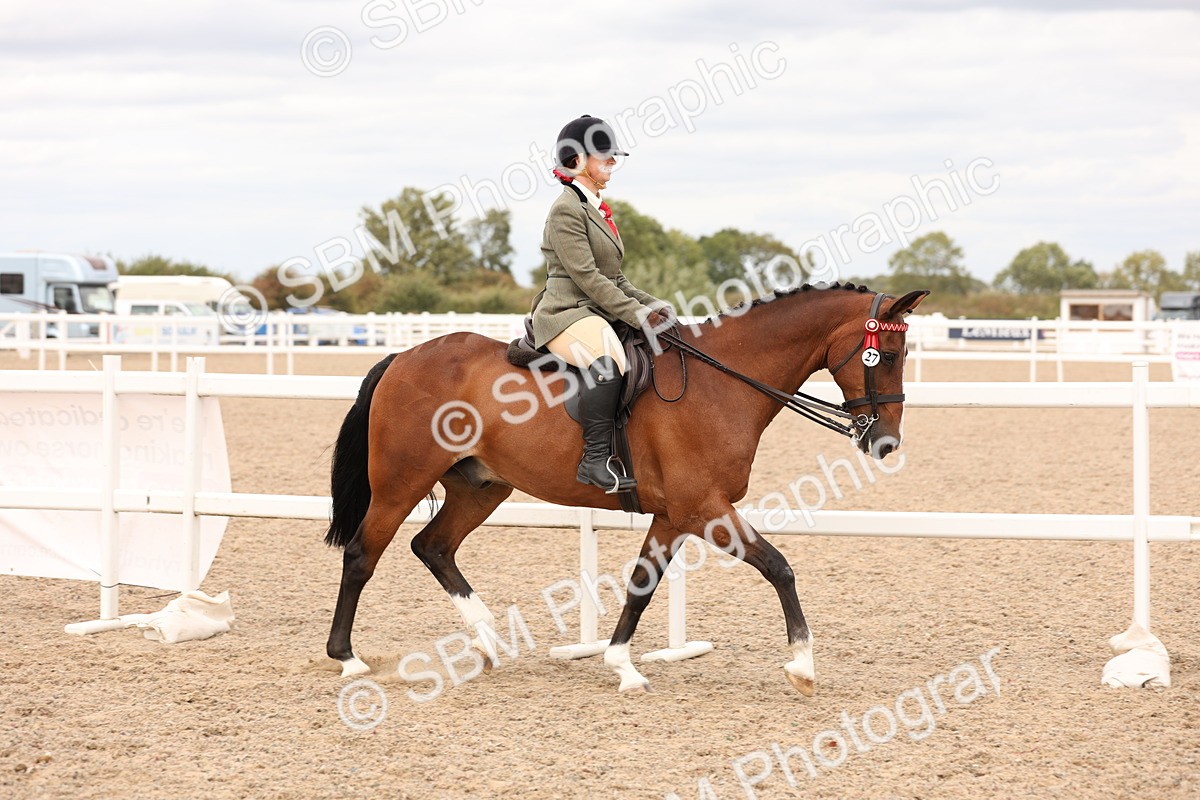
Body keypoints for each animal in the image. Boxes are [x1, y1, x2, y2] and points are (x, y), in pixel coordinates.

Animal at [323, 283, 929, 695]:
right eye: (888, 356)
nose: (887, 443)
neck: (722, 383)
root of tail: (403, 357)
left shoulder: (676, 516)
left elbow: (642, 583)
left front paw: (622, 665)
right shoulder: (705, 509)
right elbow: (779, 567)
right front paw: (802, 664)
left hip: (482, 487)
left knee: (433, 546)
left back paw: (488, 640)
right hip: (400, 483)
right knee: (362, 554)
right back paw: (347, 658)